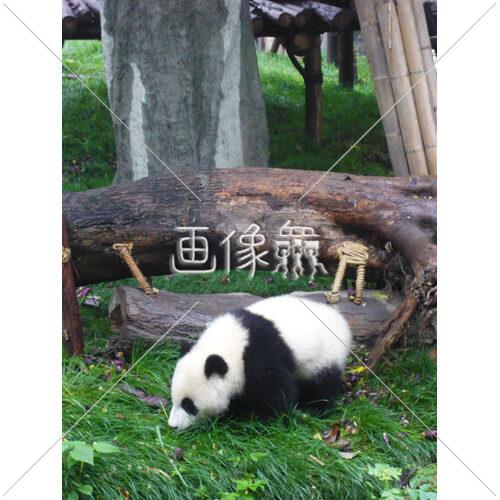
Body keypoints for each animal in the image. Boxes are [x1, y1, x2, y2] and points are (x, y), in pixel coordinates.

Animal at [168, 295, 352, 430]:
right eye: (174, 398)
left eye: (188, 405)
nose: (173, 426)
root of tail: (341, 321)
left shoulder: (261, 353)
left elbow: (274, 390)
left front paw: (271, 420)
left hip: (324, 354)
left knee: (323, 383)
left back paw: (316, 408)